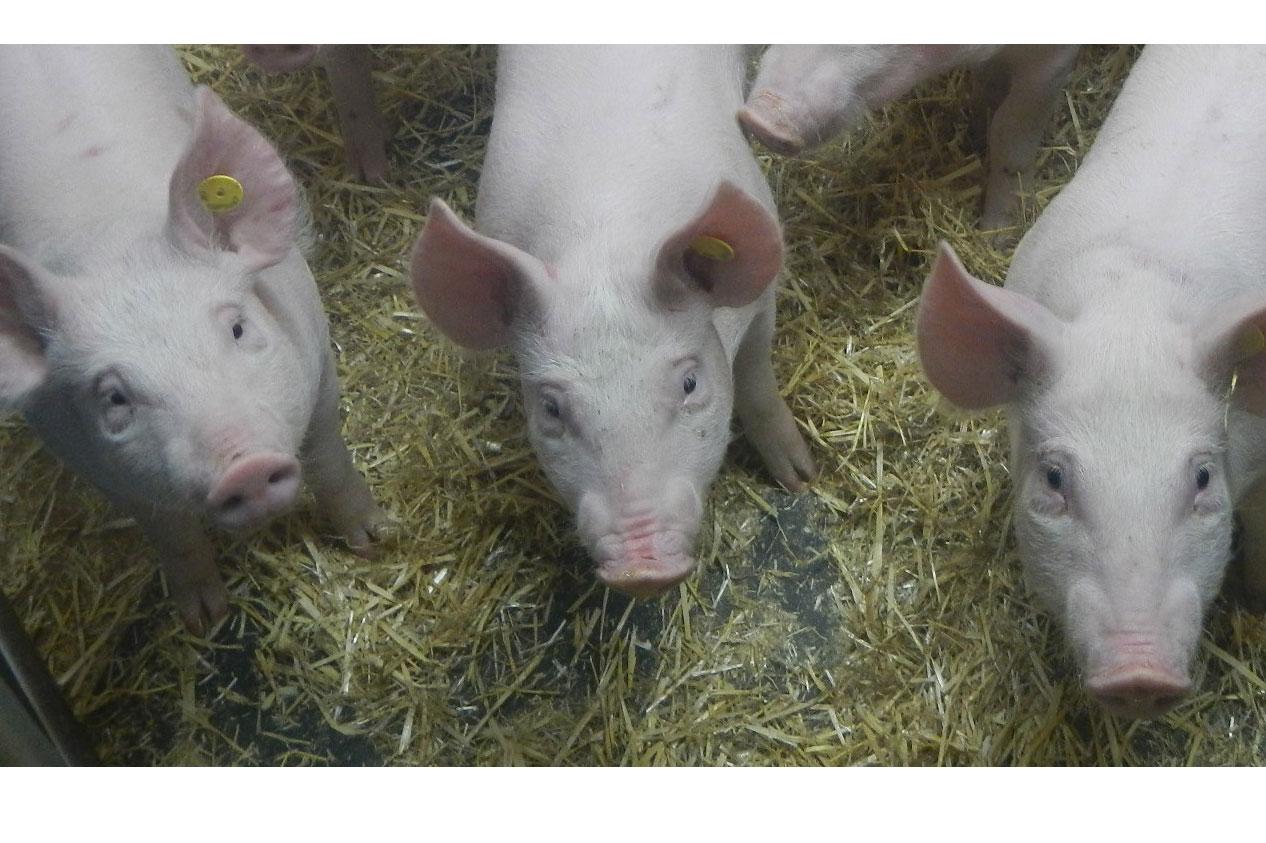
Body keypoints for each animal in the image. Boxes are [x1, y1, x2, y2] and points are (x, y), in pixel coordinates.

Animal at [410, 45, 815, 597]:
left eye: (690, 383)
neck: (606, 243)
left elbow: (756, 378)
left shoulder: (762, 298)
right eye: (551, 409)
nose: (641, 569)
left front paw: (799, 478)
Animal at [739, 44, 1078, 230]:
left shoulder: (1054, 63)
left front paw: (996, 235)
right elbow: (987, 89)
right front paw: (974, 135)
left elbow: (1010, 136)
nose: (758, 118)